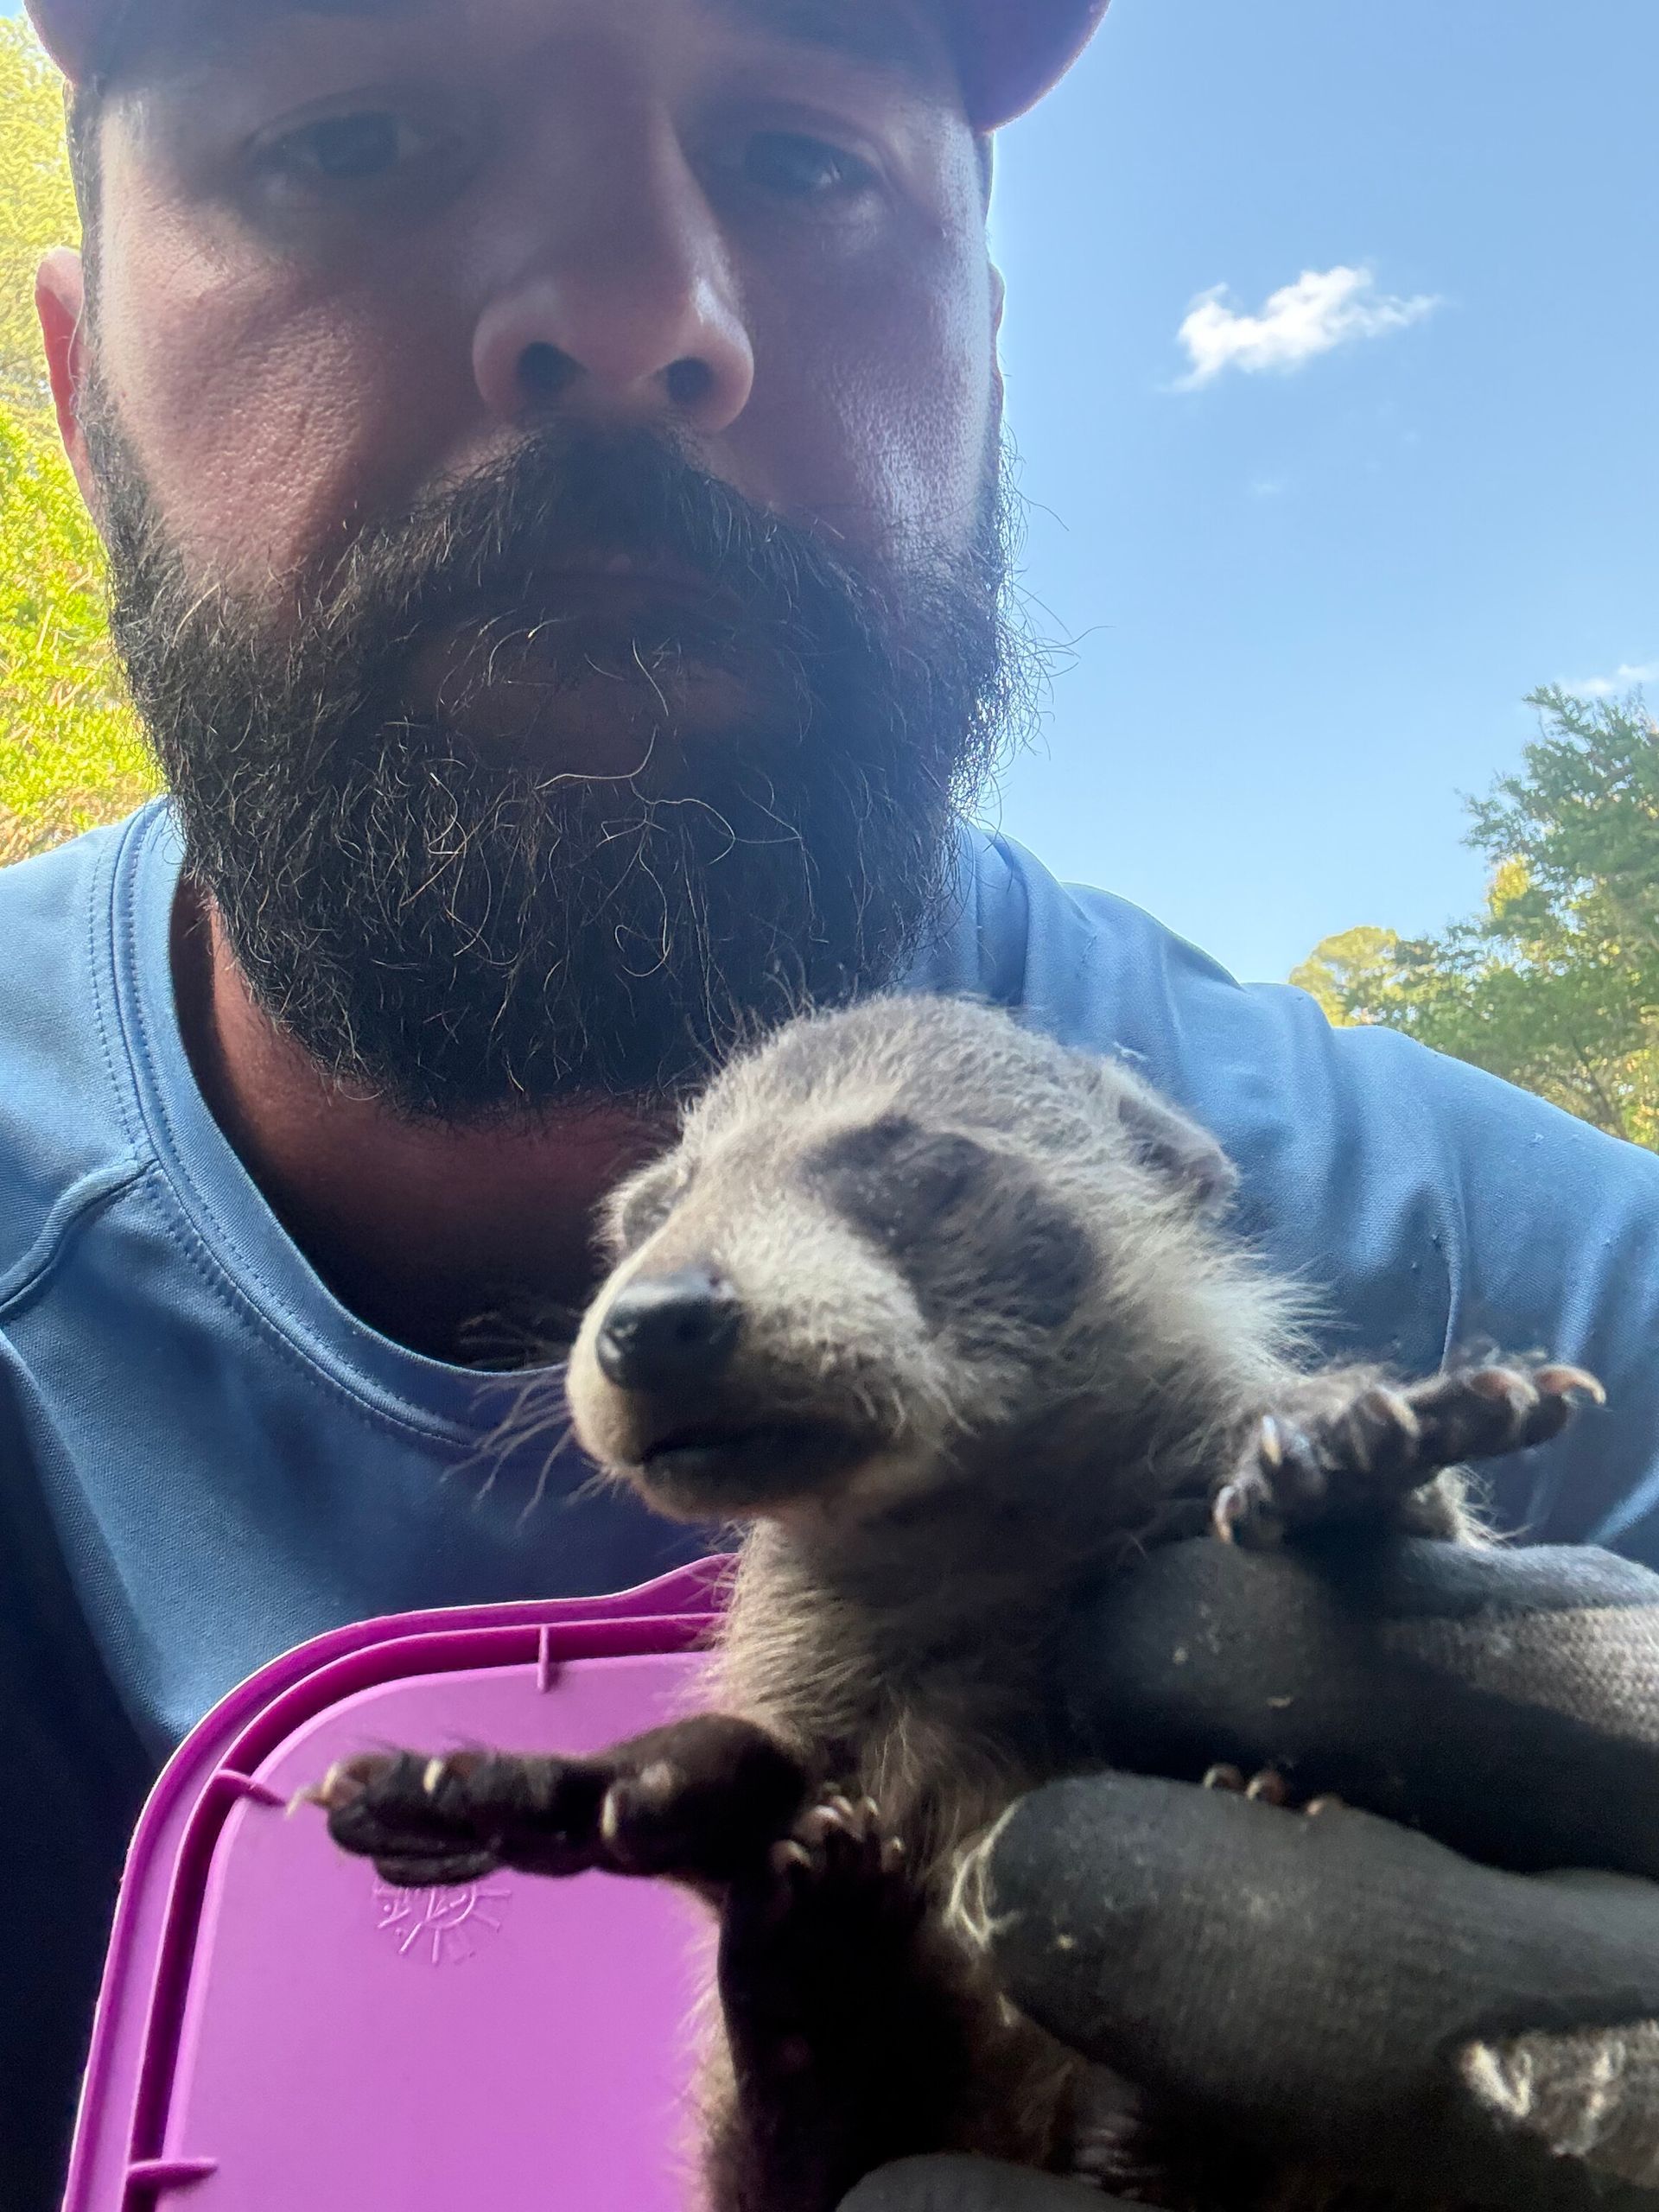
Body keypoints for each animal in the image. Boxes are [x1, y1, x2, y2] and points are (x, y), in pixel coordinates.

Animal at [318, 995, 1599, 2212]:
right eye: (649, 1215)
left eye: (906, 1161)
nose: (649, 1320)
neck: (963, 1514)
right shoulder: (803, 1635)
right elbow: (767, 1768)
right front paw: (630, 1774)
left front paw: (1360, 1464)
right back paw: (814, 2022)